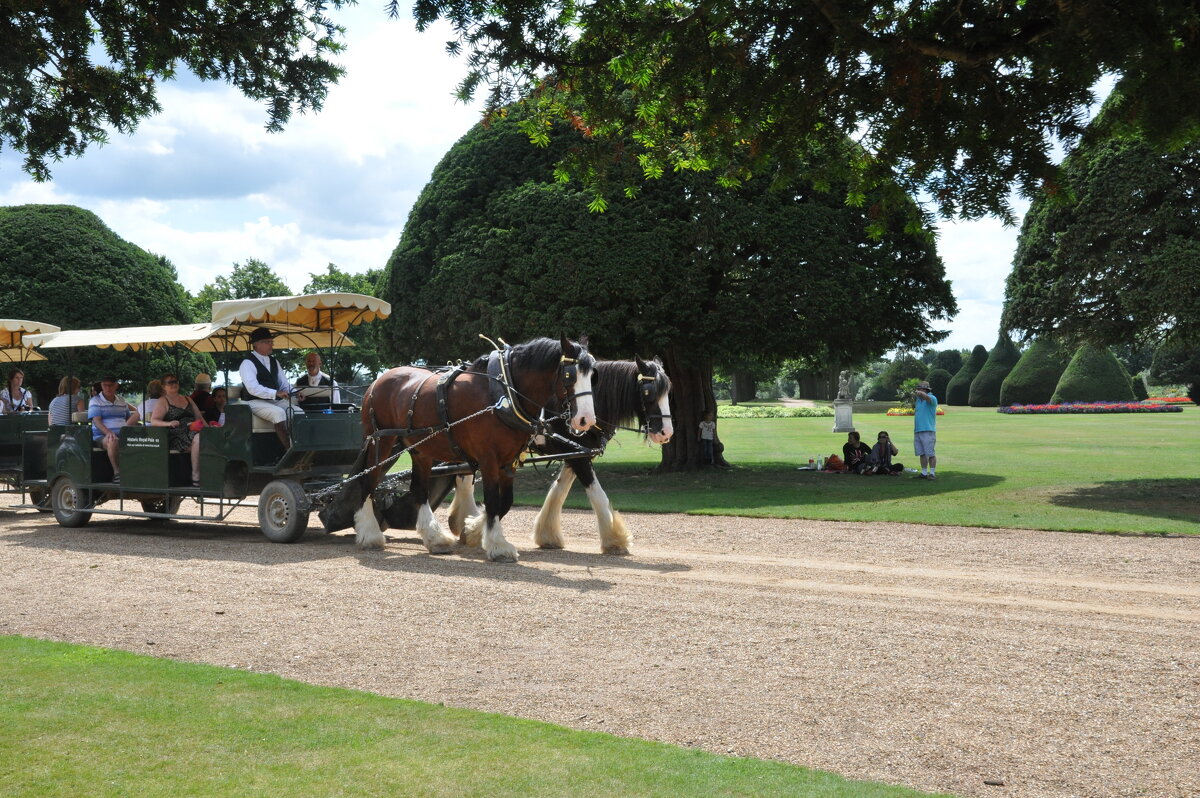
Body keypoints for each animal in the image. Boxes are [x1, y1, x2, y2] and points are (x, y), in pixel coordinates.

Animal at [321, 333, 597, 559]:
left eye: (592, 374)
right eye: (570, 375)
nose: (586, 420)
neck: (503, 393)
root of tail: (378, 381)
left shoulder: (509, 461)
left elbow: (505, 501)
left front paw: (473, 531)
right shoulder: (488, 458)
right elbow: (493, 500)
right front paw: (497, 545)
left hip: (420, 448)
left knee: (418, 490)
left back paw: (434, 538)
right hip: (381, 441)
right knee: (368, 481)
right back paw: (370, 535)